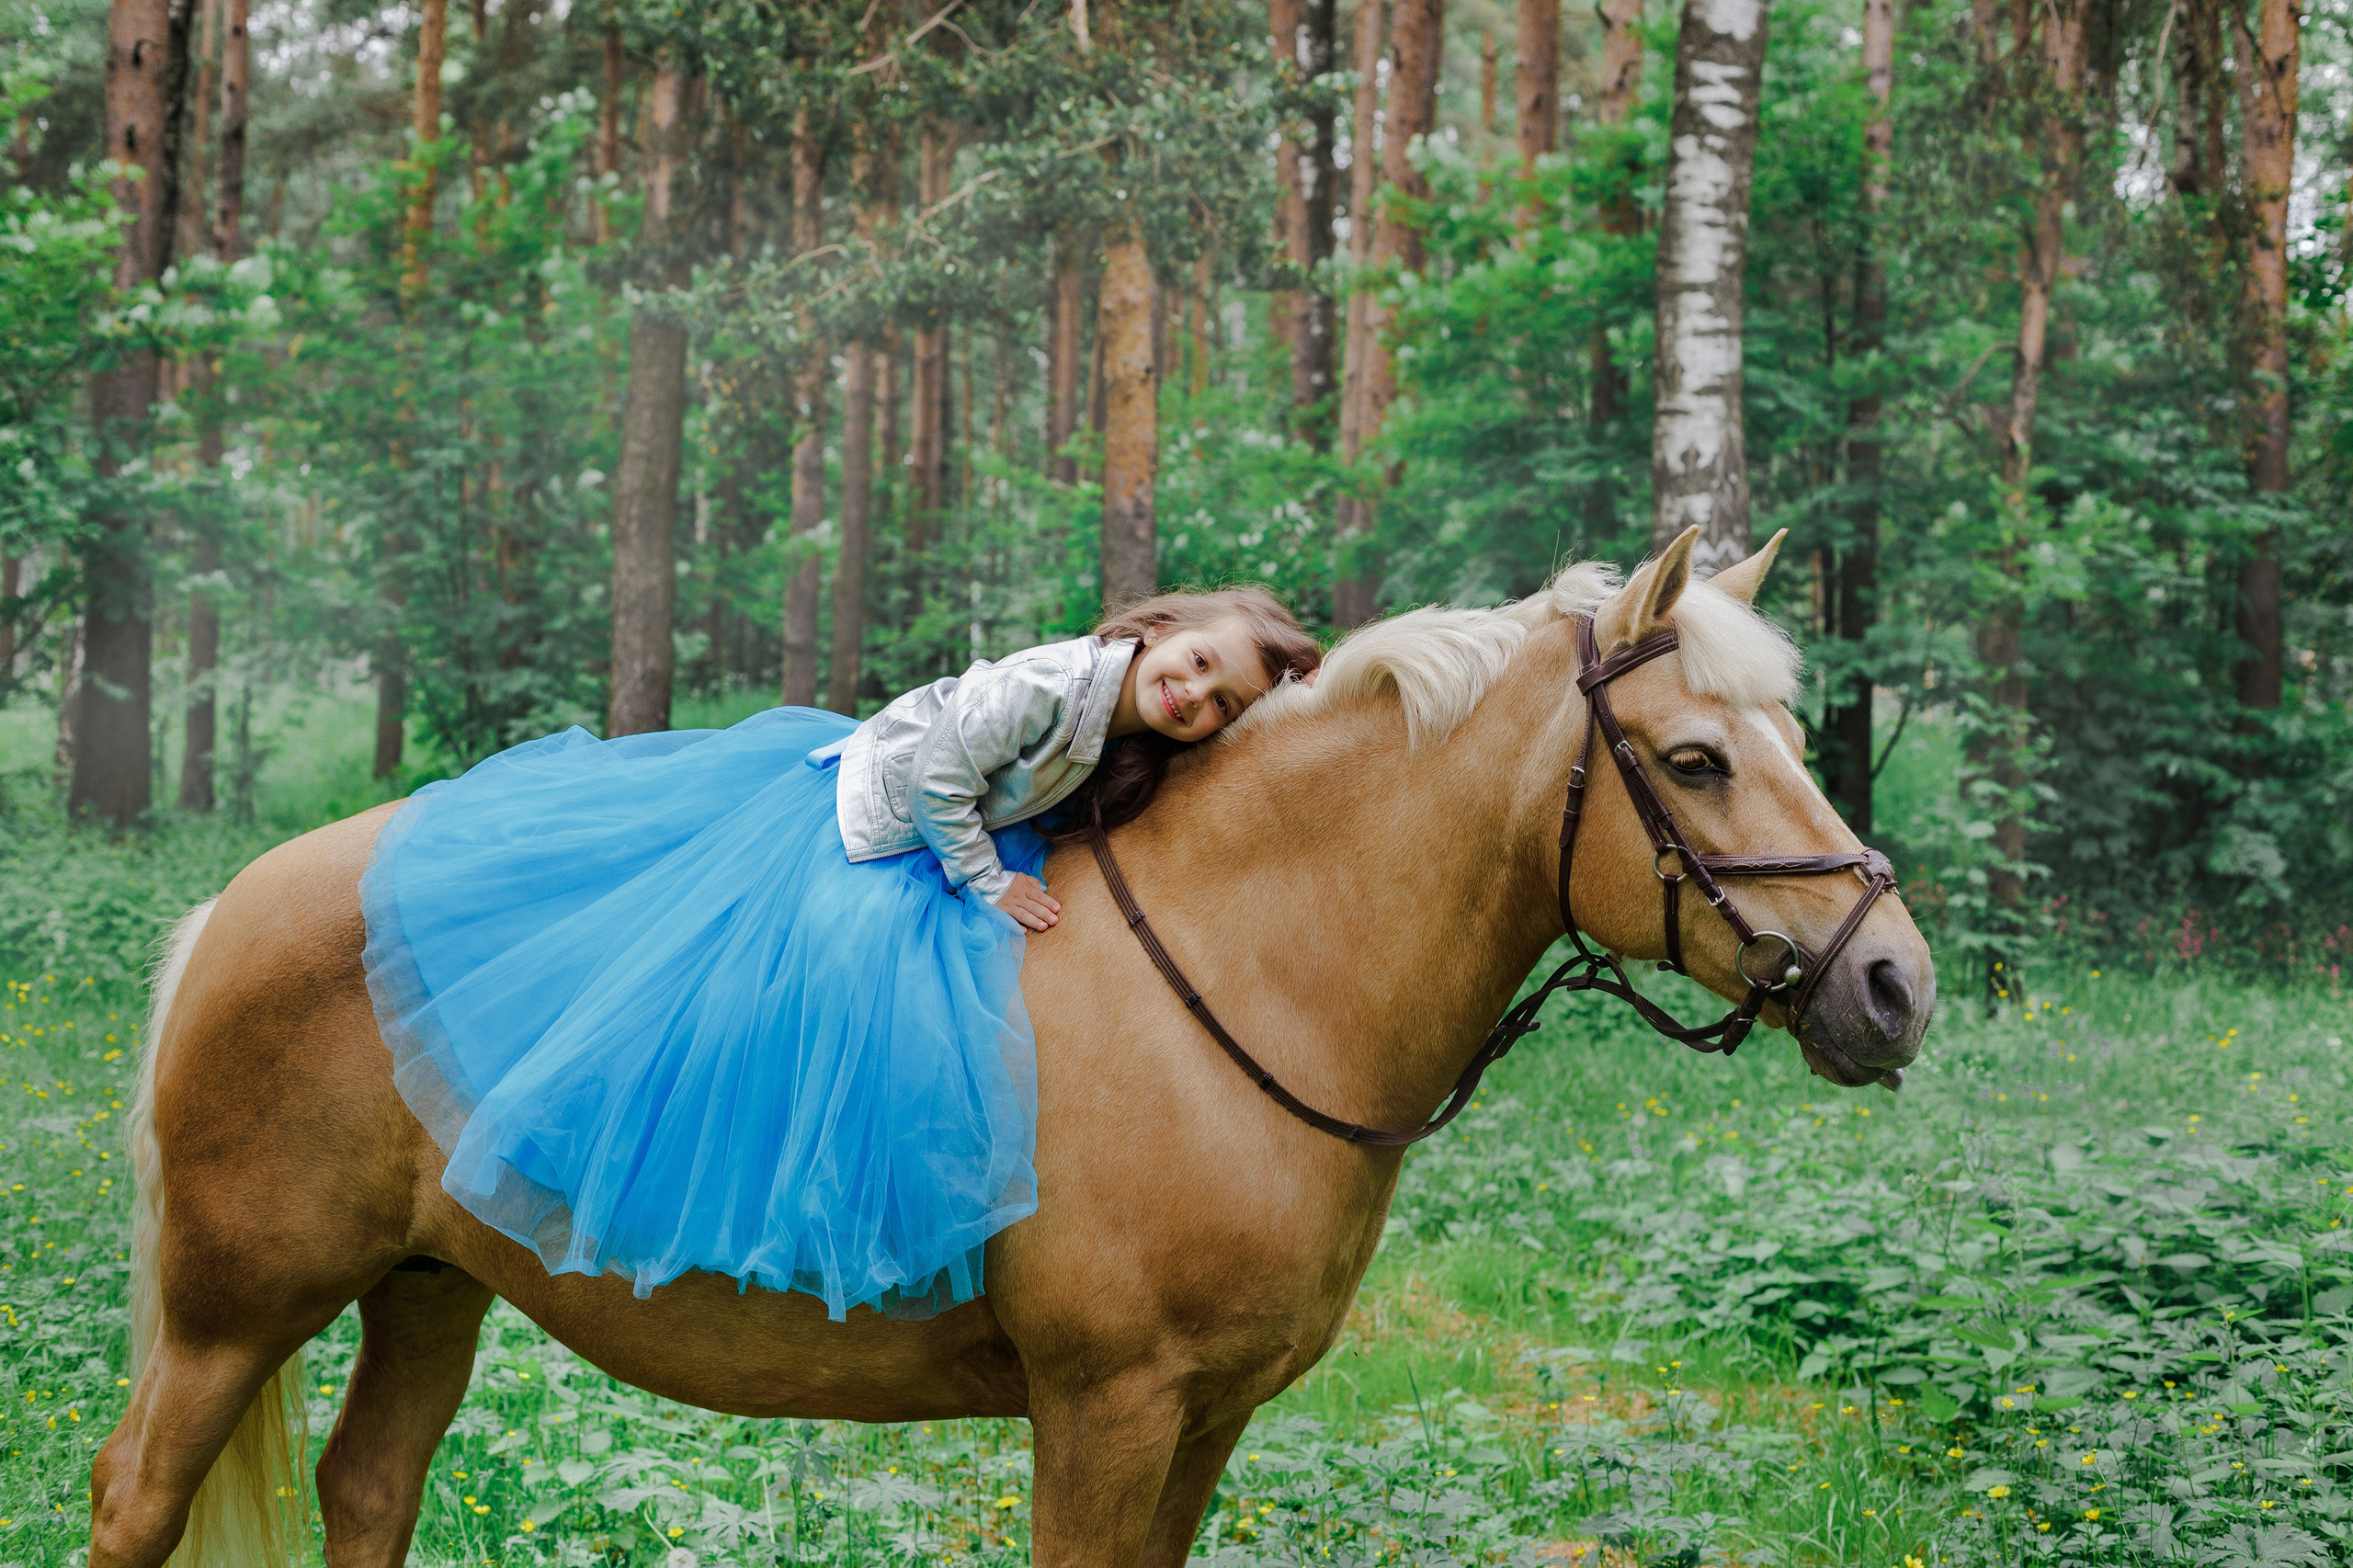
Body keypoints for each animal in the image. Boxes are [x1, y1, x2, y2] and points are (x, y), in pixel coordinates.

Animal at [90, 528, 1934, 1568]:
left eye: (1786, 732)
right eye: (1695, 761)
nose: (1894, 984)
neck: (1245, 965)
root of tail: (246, 901)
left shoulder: (1206, 1421)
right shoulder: (1106, 1410)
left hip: (426, 1285)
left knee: (369, 1491)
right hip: (237, 1305)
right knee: (136, 1497)